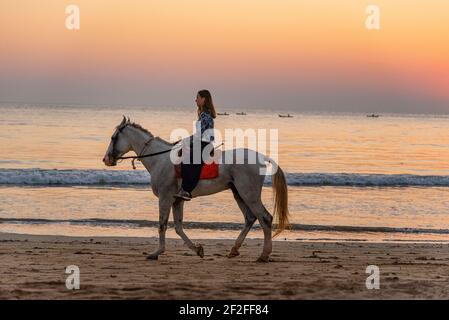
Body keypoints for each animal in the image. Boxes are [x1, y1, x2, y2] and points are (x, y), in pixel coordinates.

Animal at [103, 116, 288, 262]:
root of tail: (262, 157)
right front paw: (198, 250)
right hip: (238, 193)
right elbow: (178, 227)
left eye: (113, 137)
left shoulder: (165, 198)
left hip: (249, 194)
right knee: (250, 218)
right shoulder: (177, 200)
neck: (160, 159)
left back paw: (264, 255)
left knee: (265, 218)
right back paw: (234, 250)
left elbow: (162, 224)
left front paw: (156, 253)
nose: (106, 159)